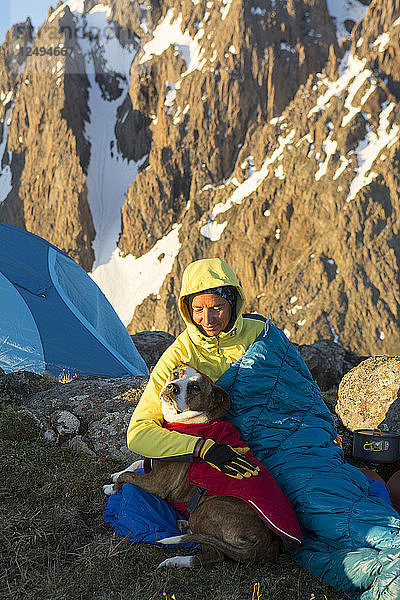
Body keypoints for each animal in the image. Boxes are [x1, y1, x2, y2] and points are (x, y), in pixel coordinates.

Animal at [103, 364, 284, 568]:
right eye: (175, 374)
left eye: (195, 387)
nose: (172, 387)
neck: (190, 421)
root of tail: (267, 540)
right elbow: (135, 464)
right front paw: (116, 475)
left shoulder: (157, 483)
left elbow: (128, 478)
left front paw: (112, 488)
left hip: (205, 510)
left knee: (213, 555)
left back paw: (175, 561)